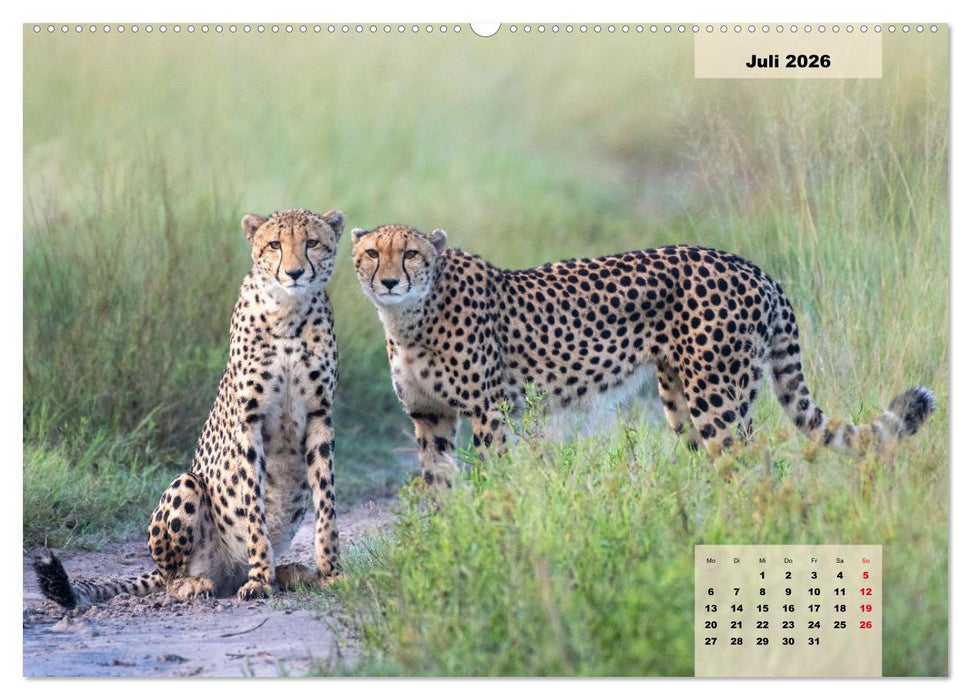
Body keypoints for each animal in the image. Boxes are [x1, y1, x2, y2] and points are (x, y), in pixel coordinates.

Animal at [35, 208, 346, 607]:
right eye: (275, 244)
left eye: (312, 243)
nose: (294, 273)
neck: (288, 314)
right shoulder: (249, 421)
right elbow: (253, 506)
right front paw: (260, 579)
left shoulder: (320, 416)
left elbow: (327, 502)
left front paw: (331, 572)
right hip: (186, 484)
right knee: (172, 576)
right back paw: (197, 583)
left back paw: (292, 572)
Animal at [351, 223, 935, 485]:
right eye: (371, 253)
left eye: (411, 254)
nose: (389, 280)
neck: (411, 317)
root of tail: (753, 268)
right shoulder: (429, 415)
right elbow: (438, 482)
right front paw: (447, 538)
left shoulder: (489, 411)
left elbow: (495, 474)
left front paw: (495, 533)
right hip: (683, 399)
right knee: (730, 459)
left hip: (716, 395)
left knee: (748, 461)